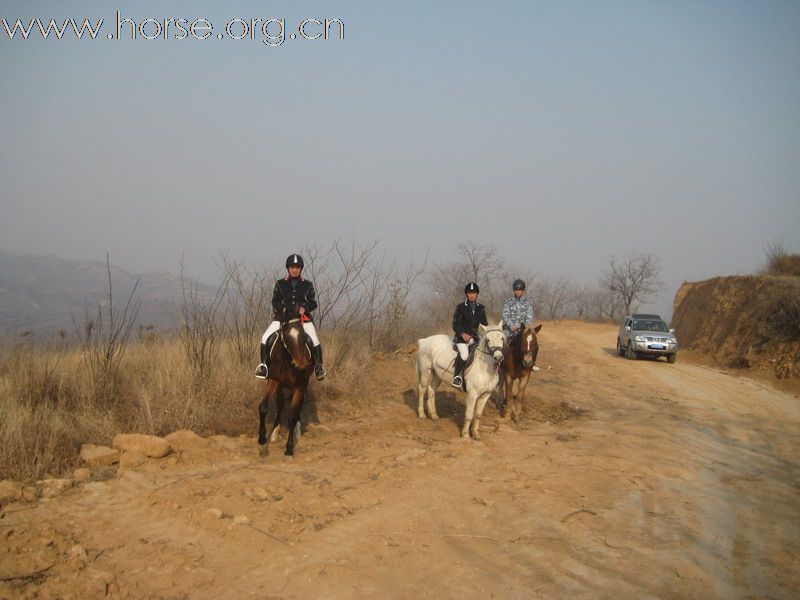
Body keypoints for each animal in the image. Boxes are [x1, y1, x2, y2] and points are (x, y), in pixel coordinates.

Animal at [260, 316, 314, 458]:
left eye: (303, 336)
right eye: (287, 337)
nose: (301, 364)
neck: (287, 361)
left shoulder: (299, 386)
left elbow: (292, 418)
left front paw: (289, 449)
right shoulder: (273, 381)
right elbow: (264, 407)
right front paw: (262, 441)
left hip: (303, 385)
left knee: (298, 406)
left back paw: (297, 432)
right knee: (280, 403)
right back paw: (275, 433)